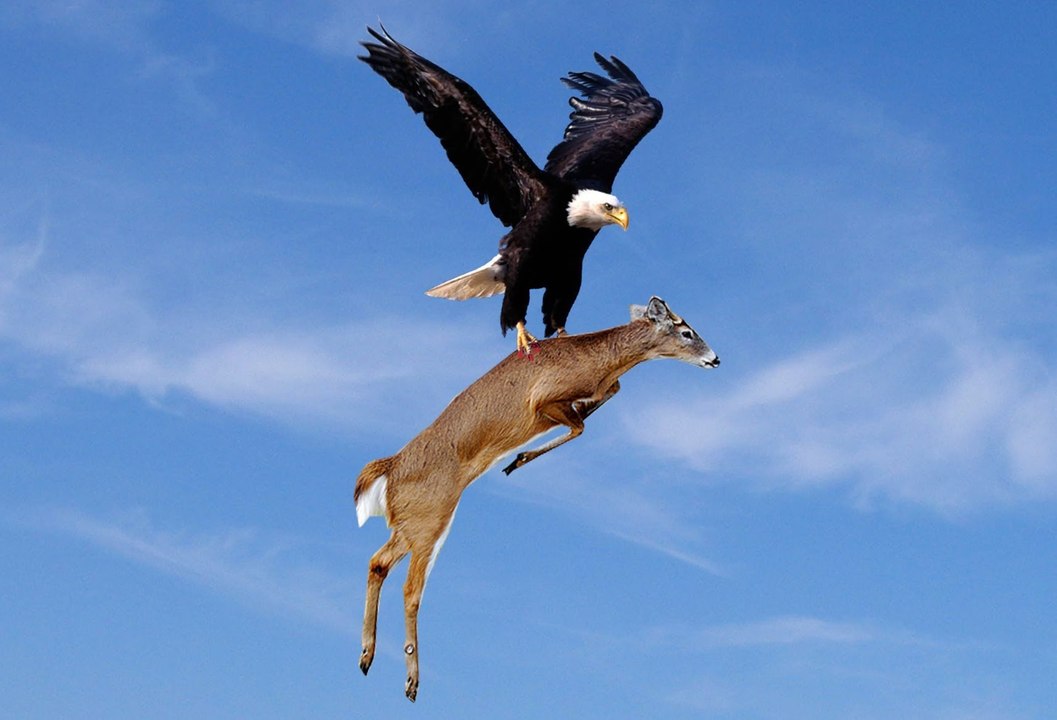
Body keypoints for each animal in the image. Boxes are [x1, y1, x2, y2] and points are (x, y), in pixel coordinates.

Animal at [354, 296, 719, 701]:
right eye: (686, 332)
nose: (715, 359)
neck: (599, 359)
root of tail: (391, 468)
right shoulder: (543, 401)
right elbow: (581, 424)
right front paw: (518, 459)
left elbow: (603, 399)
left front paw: (518, 459)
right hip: (432, 520)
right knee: (411, 588)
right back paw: (411, 680)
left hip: (411, 524)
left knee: (377, 562)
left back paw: (367, 655)